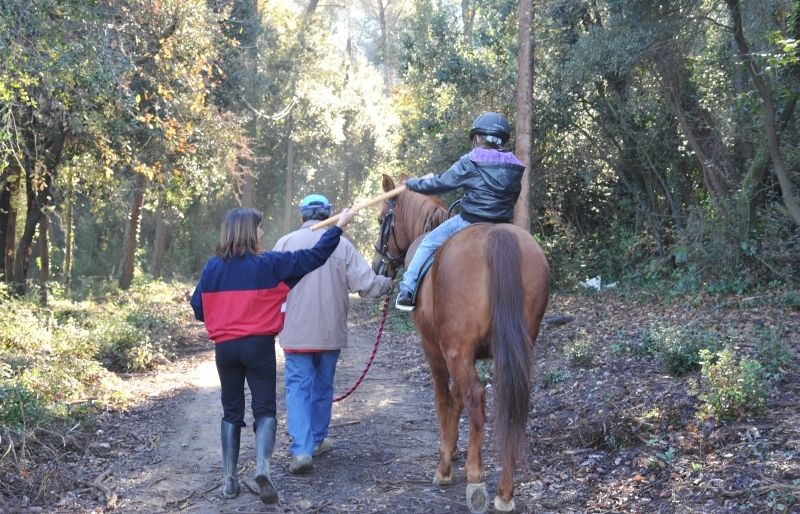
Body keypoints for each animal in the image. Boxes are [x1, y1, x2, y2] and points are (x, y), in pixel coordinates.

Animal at [371, 175, 550, 513]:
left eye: (381, 219)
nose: (377, 265)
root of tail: (498, 237)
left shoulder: (435, 348)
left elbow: (444, 398)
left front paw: (445, 464)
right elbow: (456, 398)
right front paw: (453, 449)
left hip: (456, 351)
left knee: (476, 397)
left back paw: (475, 478)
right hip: (516, 349)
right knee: (509, 402)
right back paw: (504, 491)